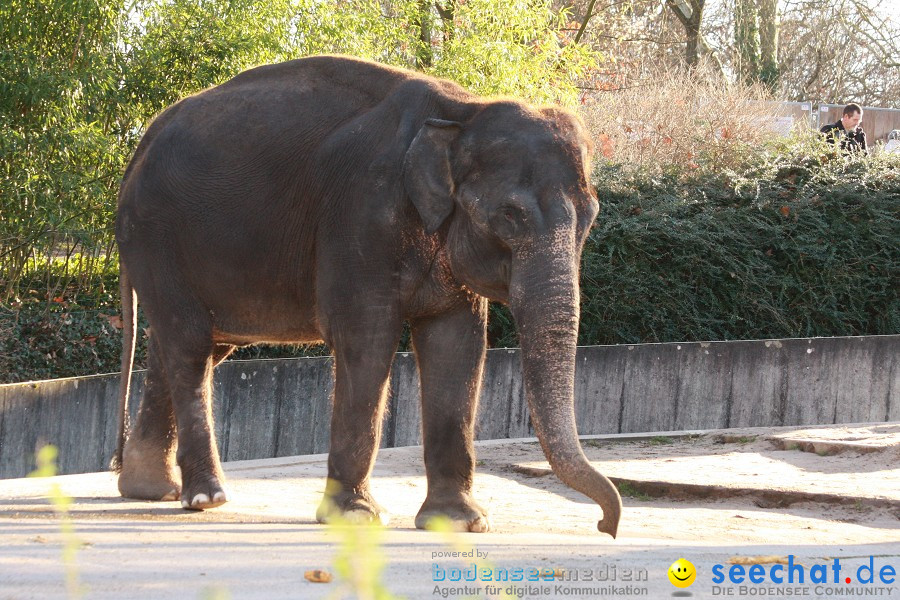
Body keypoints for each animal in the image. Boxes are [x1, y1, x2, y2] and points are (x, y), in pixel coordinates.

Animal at [110, 54, 620, 536]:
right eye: (511, 215)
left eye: (592, 216)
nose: (605, 525)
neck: (463, 111)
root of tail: (140, 145)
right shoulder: (362, 216)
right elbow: (368, 341)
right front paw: (356, 517)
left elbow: (458, 346)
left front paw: (460, 522)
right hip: (156, 237)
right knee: (190, 345)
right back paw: (206, 498)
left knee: (191, 347)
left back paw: (149, 490)